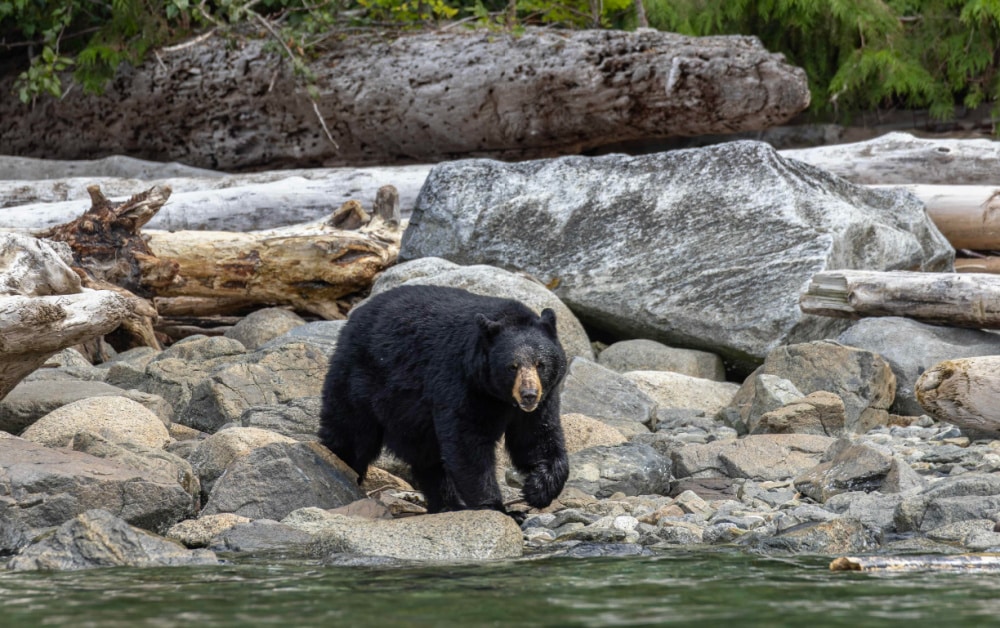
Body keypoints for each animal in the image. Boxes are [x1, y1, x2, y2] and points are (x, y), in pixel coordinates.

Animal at [318, 284, 569, 517]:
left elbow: (535, 438)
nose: (529, 394)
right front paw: (496, 508)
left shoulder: (543, 399)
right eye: (512, 366)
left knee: (428, 459)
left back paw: (448, 504)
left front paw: (538, 489)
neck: (499, 396)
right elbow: (467, 442)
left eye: (540, 364)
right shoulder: (461, 383)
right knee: (351, 433)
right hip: (359, 381)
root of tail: (352, 319)